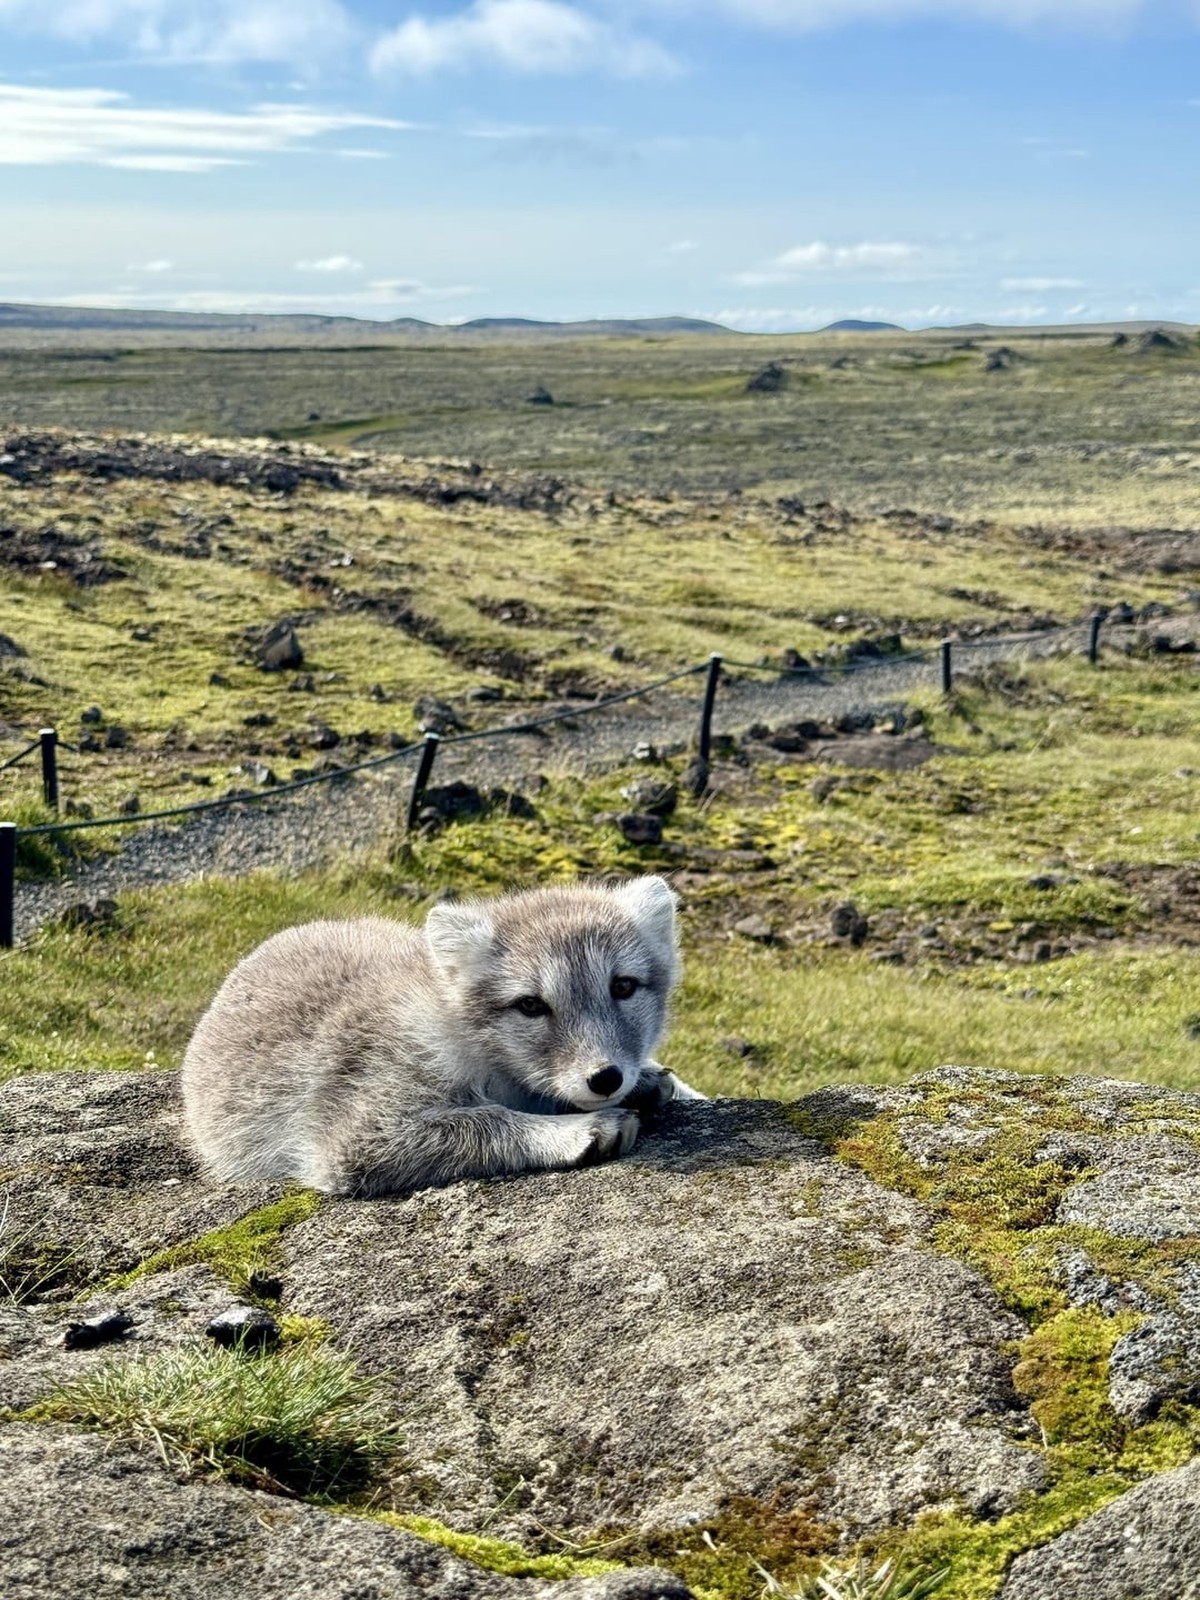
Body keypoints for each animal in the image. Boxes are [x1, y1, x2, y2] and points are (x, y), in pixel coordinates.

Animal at [180, 875, 703, 1196]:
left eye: (623, 987)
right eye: (531, 1005)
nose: (607, 1078)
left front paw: (646, 1082)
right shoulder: (354, 1134)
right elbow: (485, 1119)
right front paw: (576, 1131)